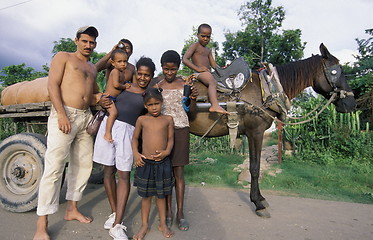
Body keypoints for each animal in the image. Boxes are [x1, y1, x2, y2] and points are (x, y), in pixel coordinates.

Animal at [189, 43, 354, 218]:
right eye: (335, 71)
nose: (351, 103)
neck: (268, 90)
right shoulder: (255, 132)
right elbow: (255, 168)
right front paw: (258, 203)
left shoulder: (254, 133)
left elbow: (256, 166)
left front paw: (261, 198)